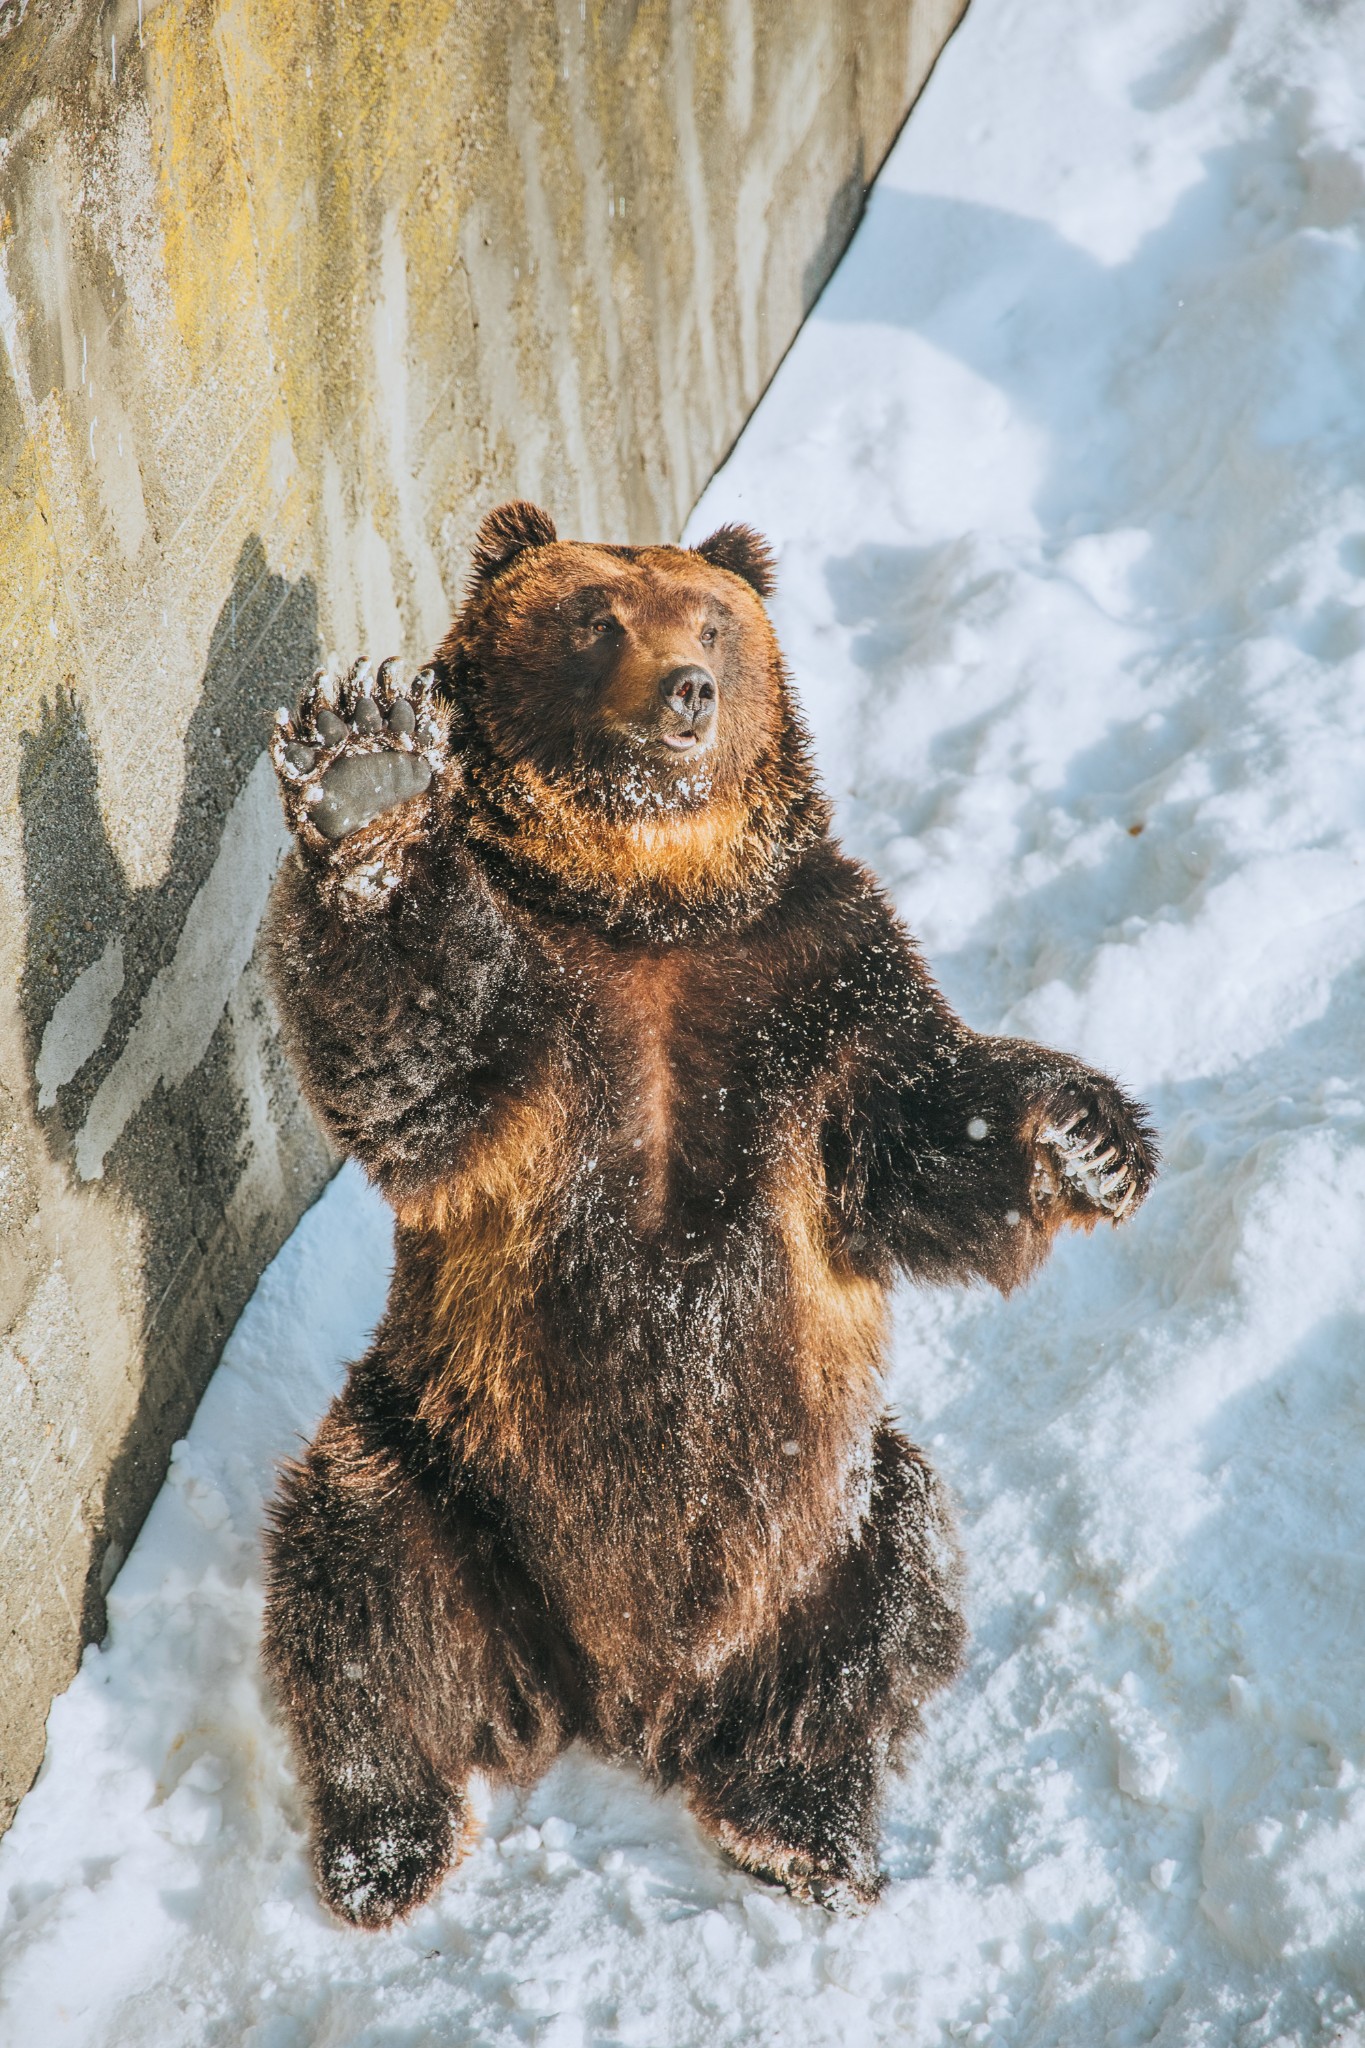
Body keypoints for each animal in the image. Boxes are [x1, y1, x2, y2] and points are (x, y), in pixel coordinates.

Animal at [261, 503, 1162, 1925]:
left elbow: (920, 1143)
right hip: (452, 1470)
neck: (650, 902)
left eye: (713, 622)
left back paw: (800, 1822)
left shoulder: (817, 984)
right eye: (593, 618)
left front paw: (1083, 1134)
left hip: (814, 1526)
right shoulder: (541, 1027)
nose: (685, 690)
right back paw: (386, 1838)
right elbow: (414, 1057)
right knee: (356, 1579)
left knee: (891, 1595)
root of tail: (617, 1693)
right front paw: (365, 780)